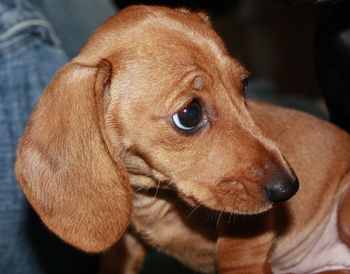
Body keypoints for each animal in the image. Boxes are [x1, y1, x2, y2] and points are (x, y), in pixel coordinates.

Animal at [15, 4, 350, 274]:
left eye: (243, 86)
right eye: (189, 114)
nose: (289, 188)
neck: (155, 200)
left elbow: (236, 255)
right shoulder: (125, 250)